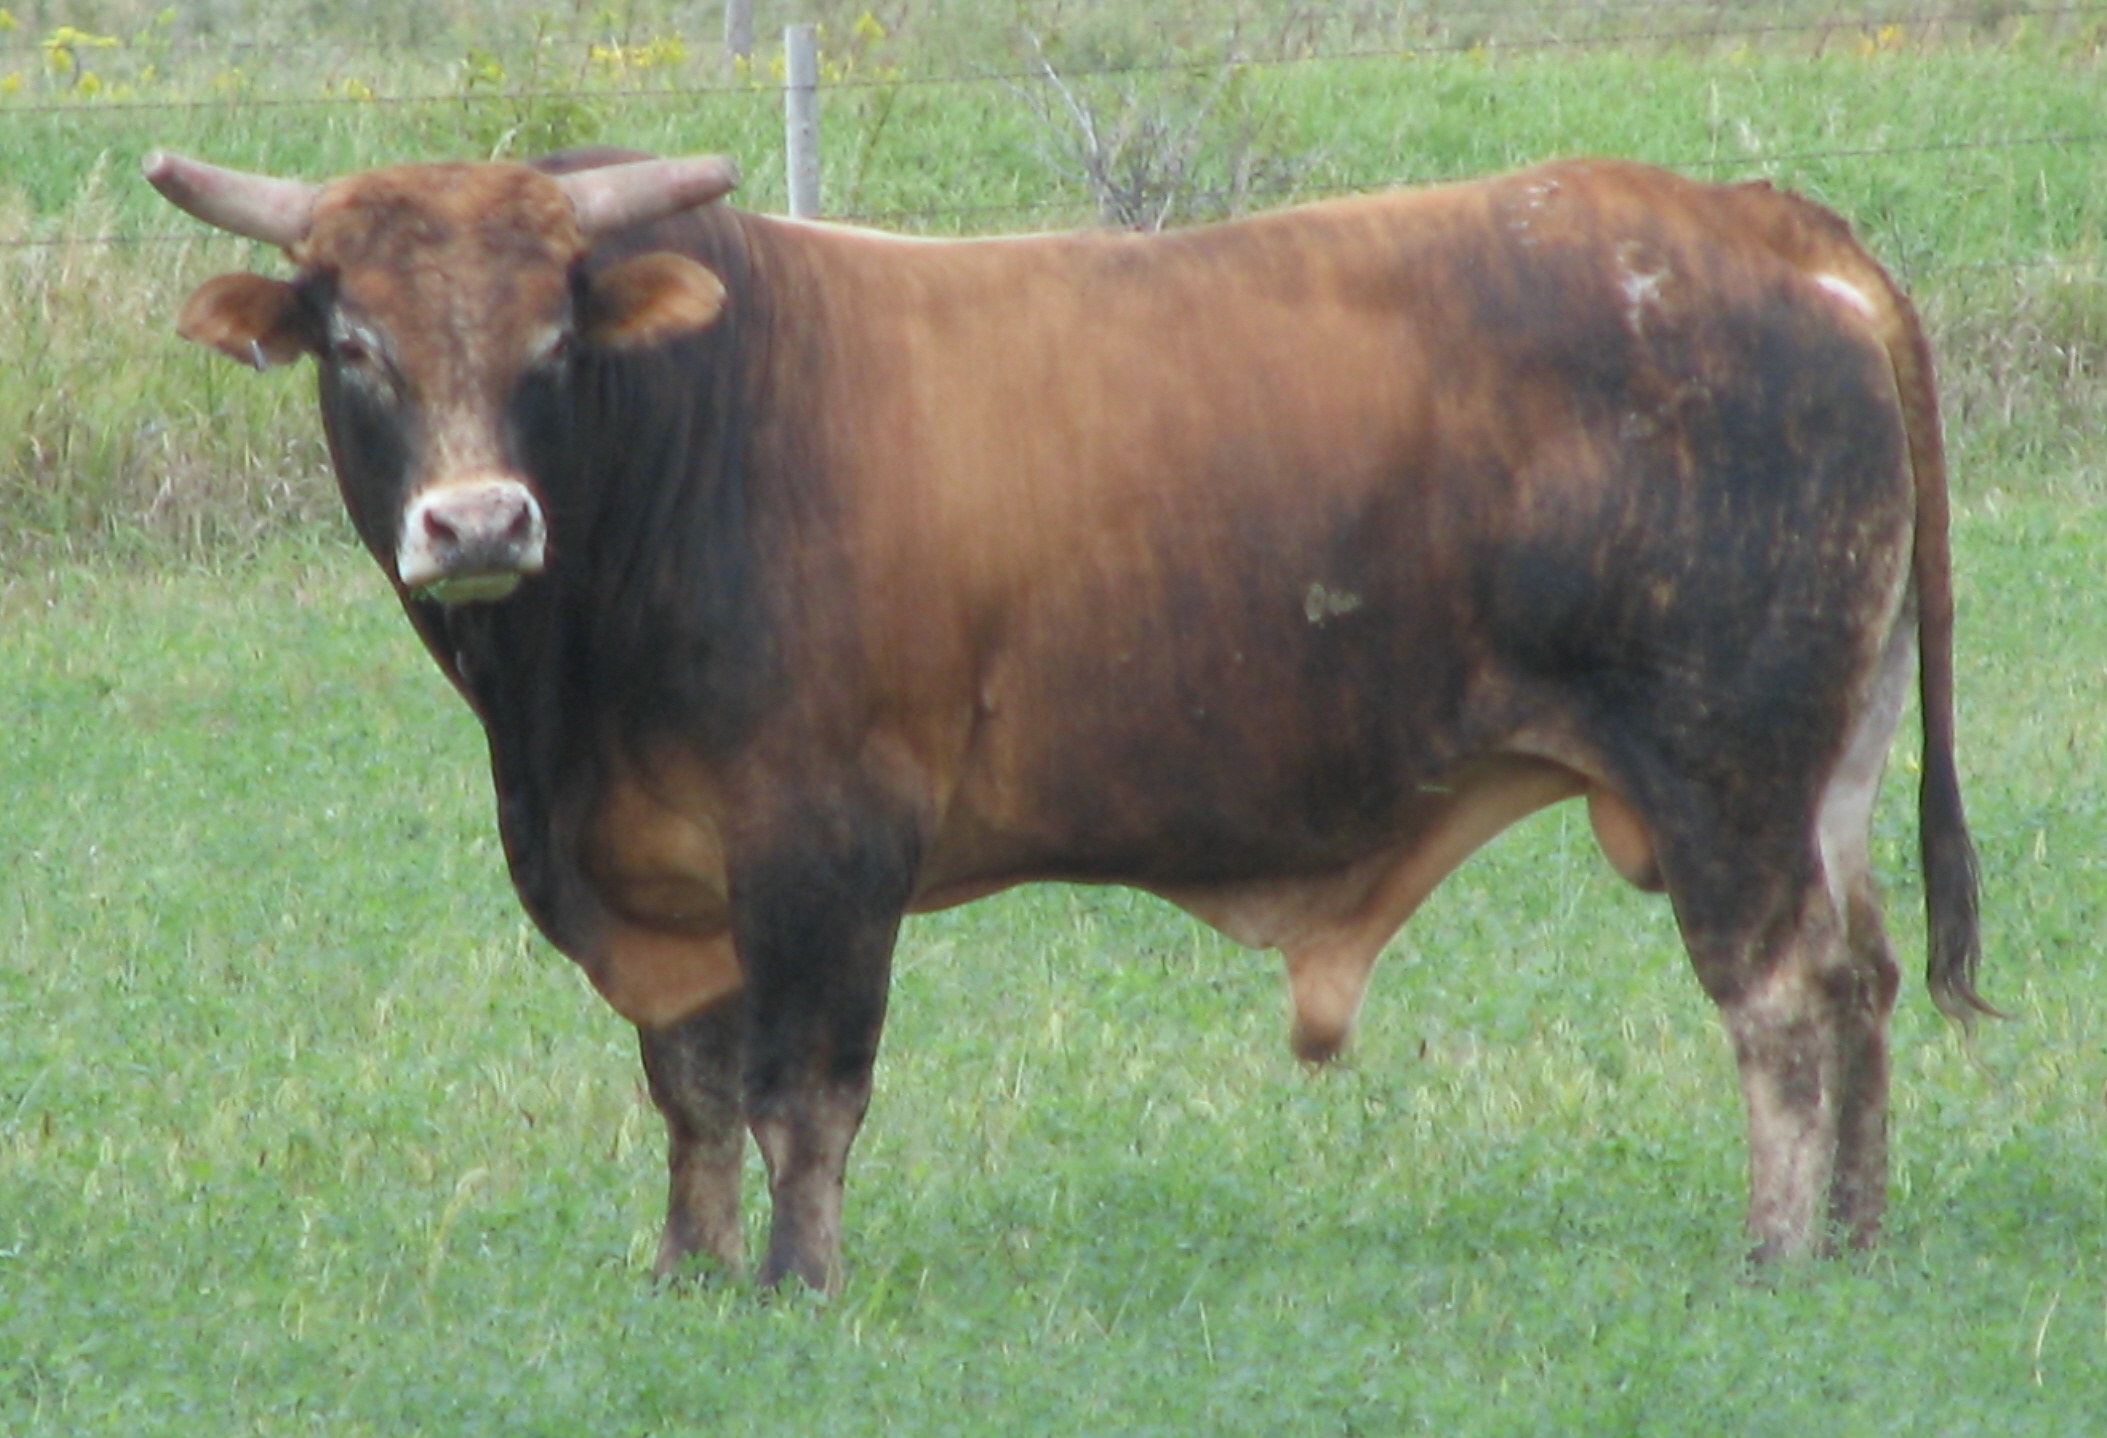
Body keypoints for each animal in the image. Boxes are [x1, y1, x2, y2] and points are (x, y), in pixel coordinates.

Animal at [146, 145, 1989, 1291]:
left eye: (551, 333)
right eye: (355, 343)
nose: (477, 523)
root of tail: (1759, 225)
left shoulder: (825, 846)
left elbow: (801, 1088)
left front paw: (795, 1283)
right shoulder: (665, 882)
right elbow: (691, 1094)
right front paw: (685, 1271)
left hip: (1724, 772)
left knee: (1777, 999)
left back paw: (1773, 1249)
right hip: (1824, 768)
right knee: (1860, 977)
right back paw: (1857, 1237)